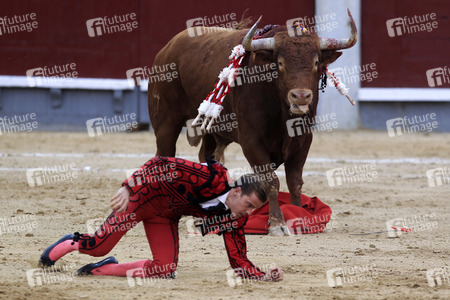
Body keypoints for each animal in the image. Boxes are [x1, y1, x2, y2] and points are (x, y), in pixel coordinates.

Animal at [149, 9, 356, 236]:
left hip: (211, 131)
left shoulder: (303, 139)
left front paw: (300, 216)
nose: (301, 96)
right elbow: (271, 180)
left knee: (206, 157)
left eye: (316, 63)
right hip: (166, 122)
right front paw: (277, 224)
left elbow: (295, 181)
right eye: (280, 63)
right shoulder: (252, 141)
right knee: (164, 155)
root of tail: (166, 49)